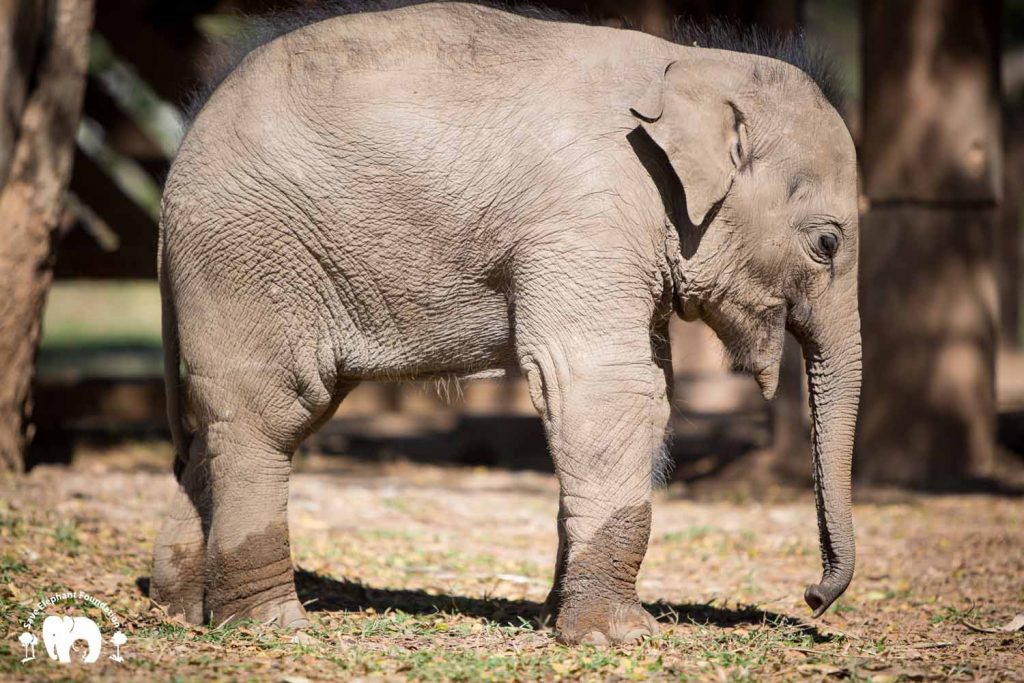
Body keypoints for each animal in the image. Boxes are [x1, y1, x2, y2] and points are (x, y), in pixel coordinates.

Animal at [149, 1, 856, 647]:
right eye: (826, 243)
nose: (813, 597)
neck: (692, 65)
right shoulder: (587, 213)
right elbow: (608, 387)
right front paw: (620, 637)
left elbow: (645, 386)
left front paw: (558, 621)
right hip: (247, 258)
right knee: (266, 416)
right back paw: (271, 627)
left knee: (232, 425)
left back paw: (181, 609)